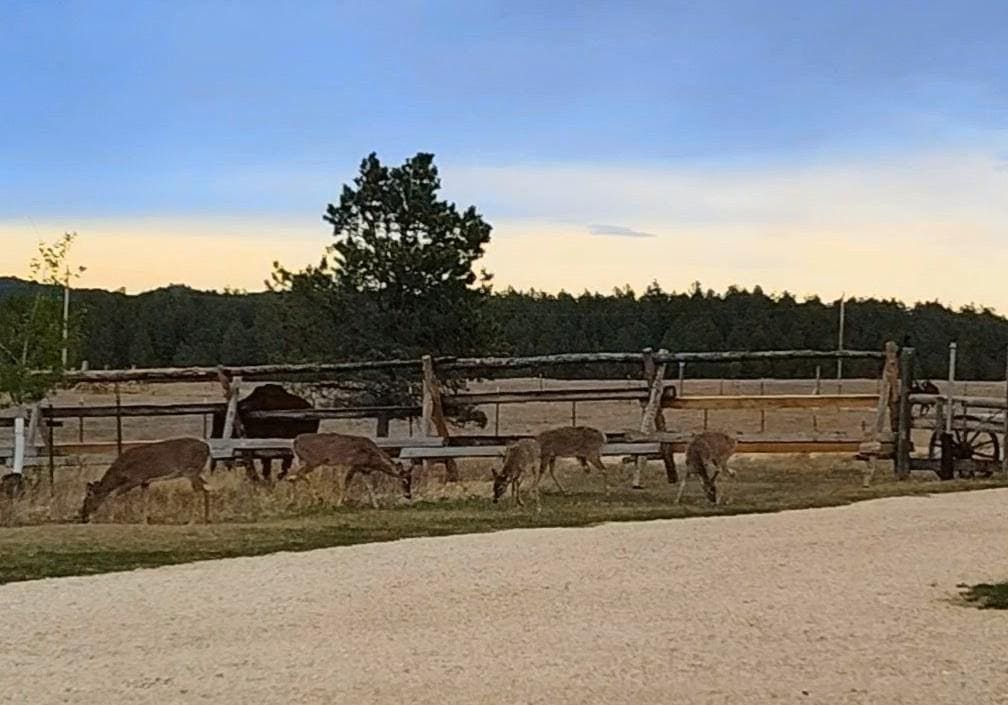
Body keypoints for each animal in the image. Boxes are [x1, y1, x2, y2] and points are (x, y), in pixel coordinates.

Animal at [80, 437, 212, 524]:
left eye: (86, 500)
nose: (84, 518)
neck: (121, 471)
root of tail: (207, 448)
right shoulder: (145, 482)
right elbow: (144, 500)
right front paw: (144, 521)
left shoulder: (135, 478)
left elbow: (112, 494)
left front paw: (110, 519)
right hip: (199, 471)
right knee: (207, 488)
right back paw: (206, 519)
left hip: (190, 470)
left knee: (198, 490)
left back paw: (192, 521)